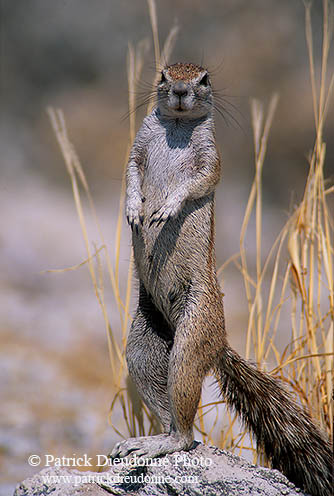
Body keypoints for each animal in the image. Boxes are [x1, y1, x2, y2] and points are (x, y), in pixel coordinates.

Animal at [111, 62, 332, 496]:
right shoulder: (135, 148)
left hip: (191, 338)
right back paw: (147, 440)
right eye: (163, 75)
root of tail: (220, 344)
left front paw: (166, 208)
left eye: (204, 79)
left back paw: (161, 443)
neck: (177, 126)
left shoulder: (210, 160)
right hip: (144, 345)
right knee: (170, 411)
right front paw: (132, 209)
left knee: (186, 430)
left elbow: (199, 181)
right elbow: (129, 173)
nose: (181, 91)